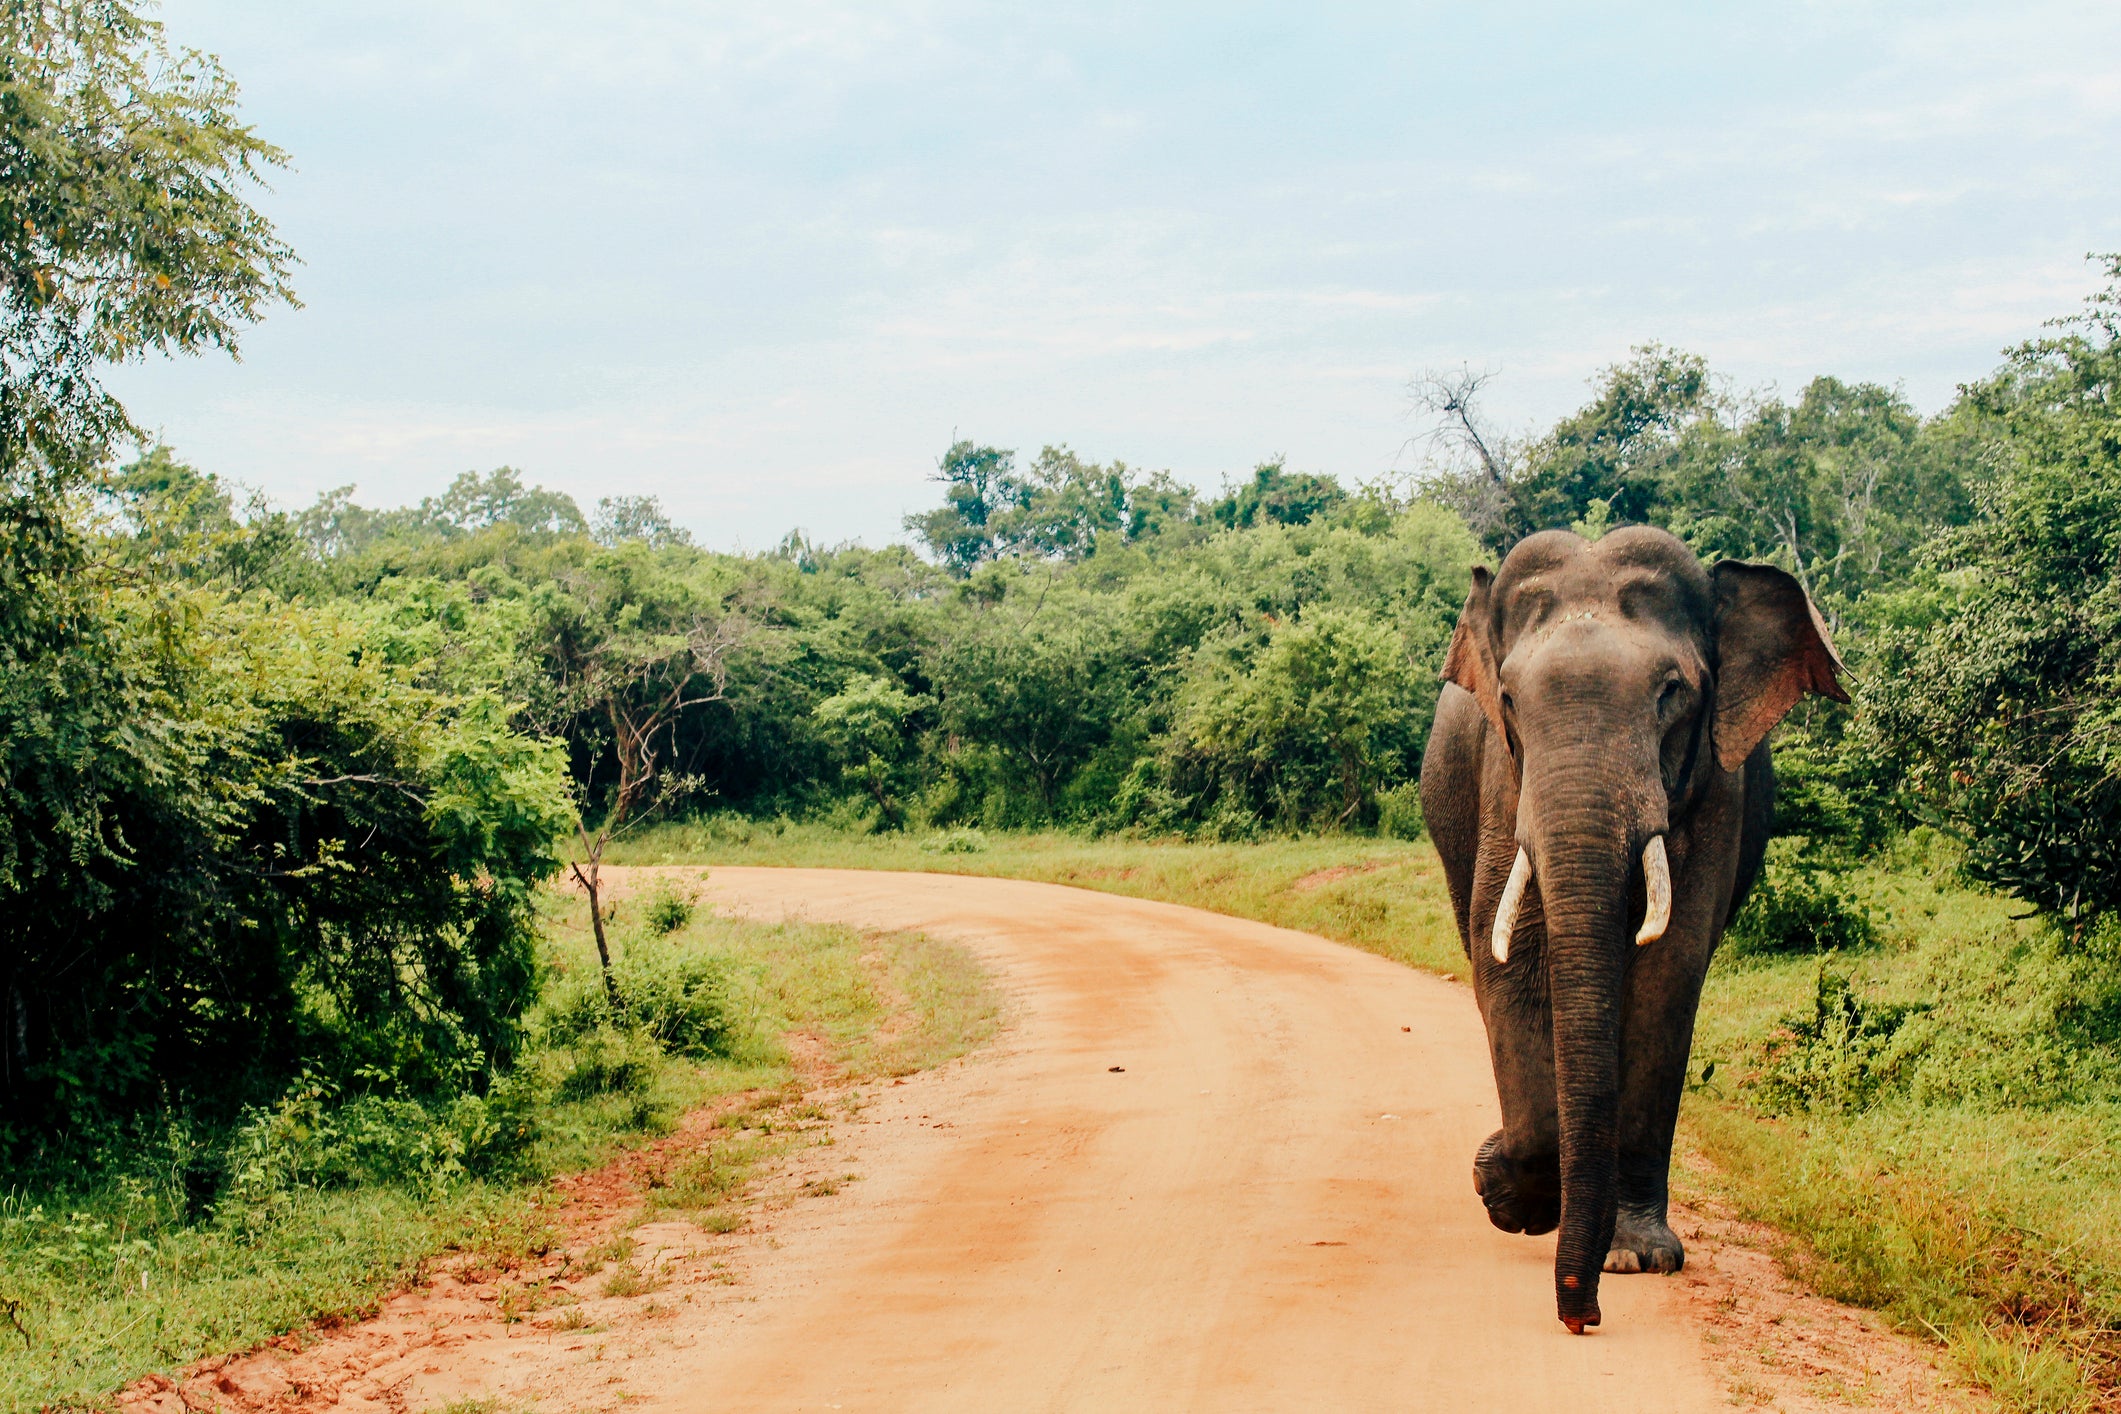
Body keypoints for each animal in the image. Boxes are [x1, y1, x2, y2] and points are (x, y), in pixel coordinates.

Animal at [1416, 525, 1849, 1331]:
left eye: (1671, 691)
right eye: (1509, 699)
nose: (1579, 1317)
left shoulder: (1716, 790)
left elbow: (1667, 977)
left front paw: (1635, 1257)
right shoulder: (1503, 780)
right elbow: (1509, 966)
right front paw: (1510, 1196)